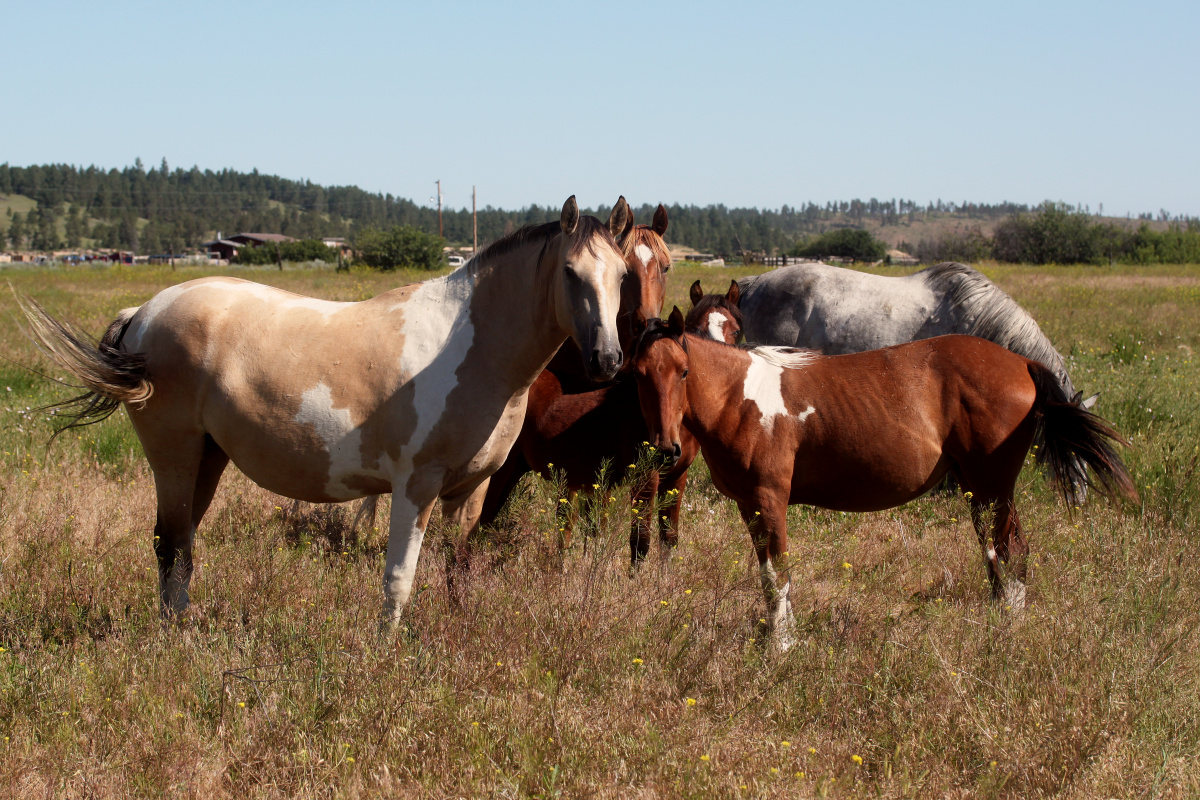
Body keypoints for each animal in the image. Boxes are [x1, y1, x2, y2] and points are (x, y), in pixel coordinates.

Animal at [23, 195, 633, 623]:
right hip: (173, 456)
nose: (606, 359)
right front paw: (387, 655)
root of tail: (144, 313)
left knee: (180, 546)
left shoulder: (470, 491)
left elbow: (457, 572)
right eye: (571, 274)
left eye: (623, 276)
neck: (469, 347)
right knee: (171, 544)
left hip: (207, 459)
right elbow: (398, 580)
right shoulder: (415, 487)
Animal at [628, 307, 1132, 652]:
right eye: (638, 374)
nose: (667, 449)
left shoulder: (769, 500)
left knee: (1012, 551)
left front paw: (782, 646)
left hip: (993, 488)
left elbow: (778, 575)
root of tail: (1022, 363)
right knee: (997, 554)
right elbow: (769, 574)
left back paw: (1008, 628)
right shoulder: (748, 505)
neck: (742, 397)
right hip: (979, 490)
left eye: (684, 371)